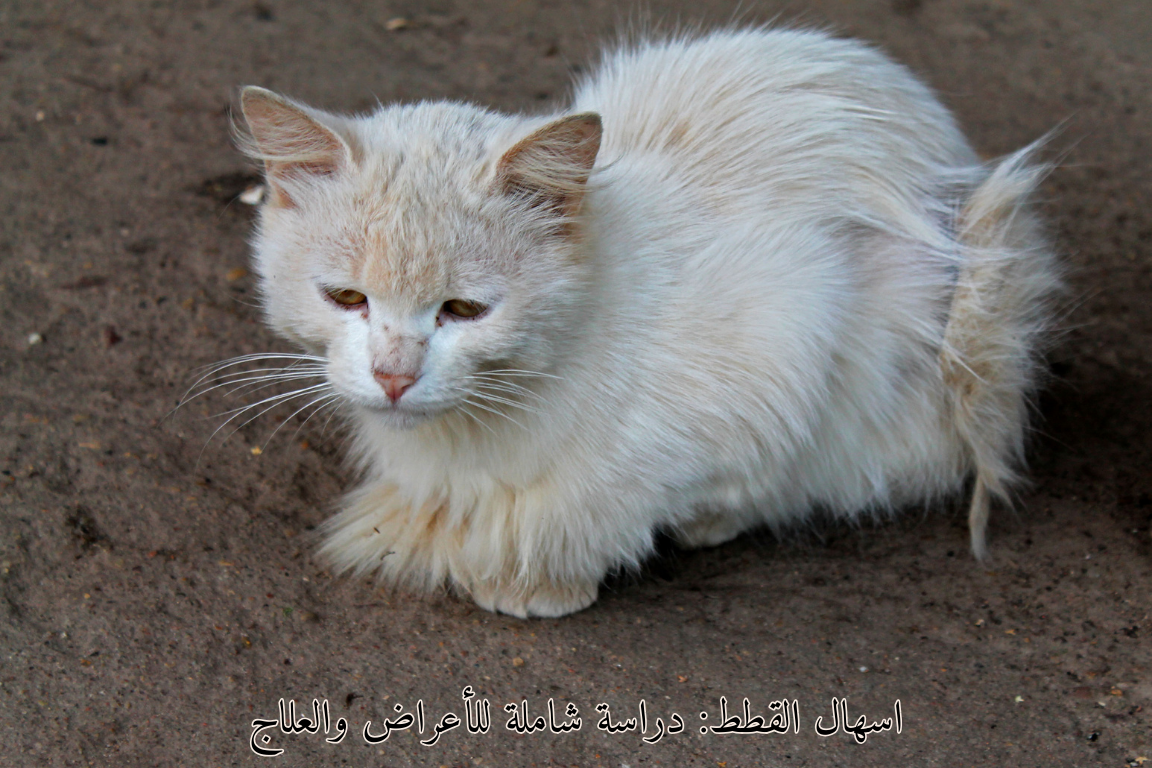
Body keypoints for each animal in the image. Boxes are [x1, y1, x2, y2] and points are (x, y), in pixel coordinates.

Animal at [231, 27, 1059, 621]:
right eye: (346, 298)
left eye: (463, 310)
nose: (394, 377)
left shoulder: (791, 336)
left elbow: (705, 490)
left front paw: (541, 585)